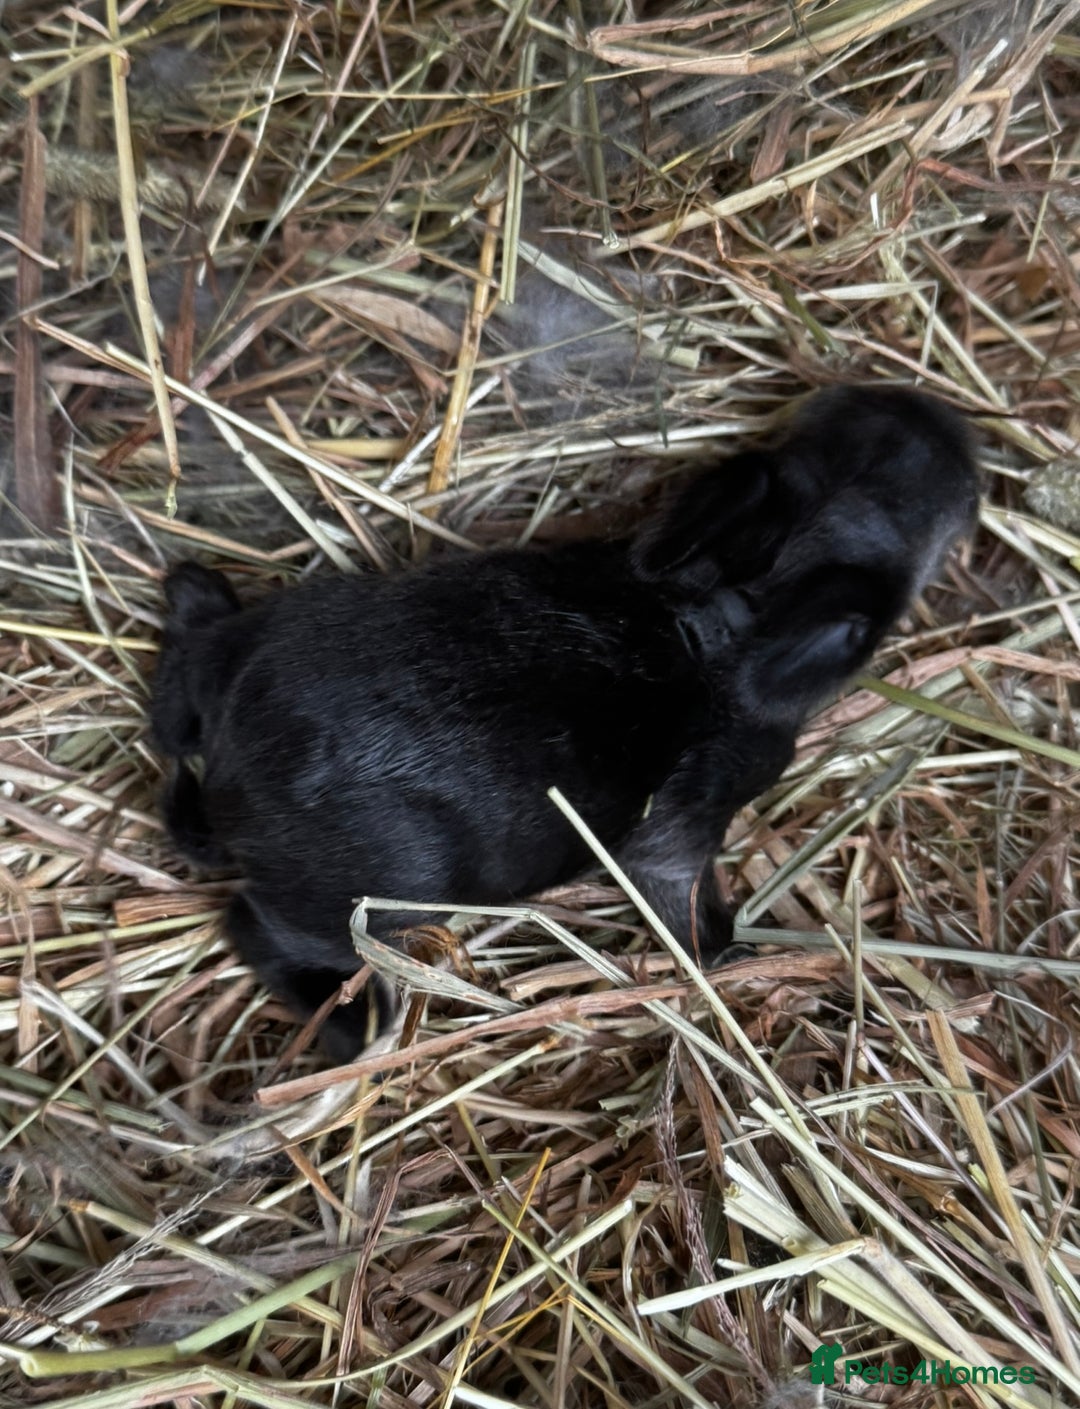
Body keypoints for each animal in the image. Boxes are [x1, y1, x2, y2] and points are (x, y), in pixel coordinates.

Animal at [151, 385, 977, 1062]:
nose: (936, 416)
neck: (707, 616)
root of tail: (228, 766)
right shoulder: (679, 834)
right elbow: (683, 903)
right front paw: (732, 955)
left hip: (269, 630)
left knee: (195, 658)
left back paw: (194, 588)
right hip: (370, 902)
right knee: (251, 924)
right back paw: (354, 1028)